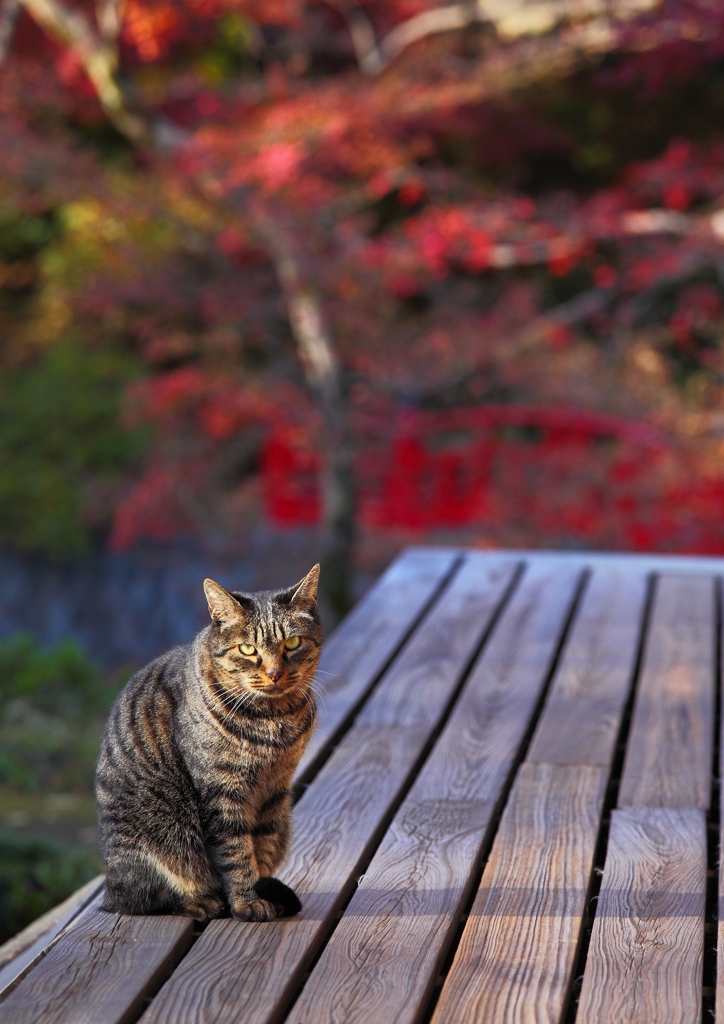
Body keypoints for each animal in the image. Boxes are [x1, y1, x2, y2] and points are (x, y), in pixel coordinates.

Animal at [94, 565, 321, 925]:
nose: (274, 673)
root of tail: (109, 891)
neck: (272, 720)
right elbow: (236, 853)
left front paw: (260, 891)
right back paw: (203, 902)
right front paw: (247, 902)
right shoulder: (222, 791)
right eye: (248, 650)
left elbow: (261, 847)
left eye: (293, 643)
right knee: (147, 899)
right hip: (161, 839)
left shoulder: (275, 789)